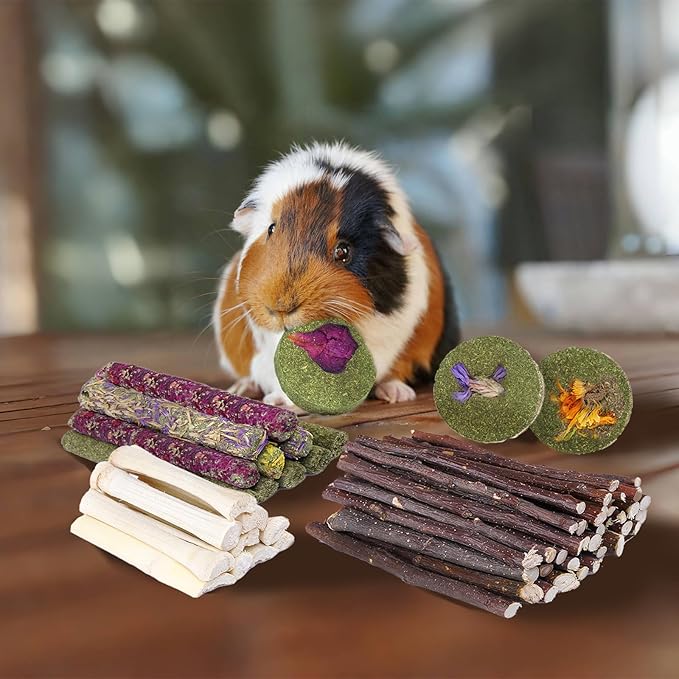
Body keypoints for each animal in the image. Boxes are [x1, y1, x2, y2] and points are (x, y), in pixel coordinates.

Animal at [214, 142, 459, 408]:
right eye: (271, 228)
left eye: (343, 251)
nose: (282, 307)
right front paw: (278, 401)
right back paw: (242, 389)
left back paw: (397, 394)